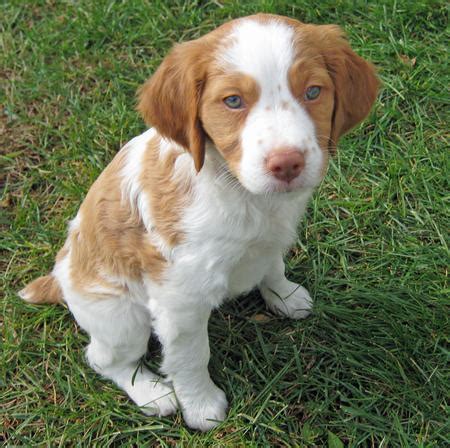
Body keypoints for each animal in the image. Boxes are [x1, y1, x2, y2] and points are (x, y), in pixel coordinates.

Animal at [22, 14, 380, 430]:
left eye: (312, 92)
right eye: (233, 101)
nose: (287, 164)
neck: (242, 194)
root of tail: (60, 276)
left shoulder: (270, 239)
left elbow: (272, 265)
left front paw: (285, 296)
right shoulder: (181, 300)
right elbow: (192, 357)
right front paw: (201, 406)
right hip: (121, 318)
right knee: (104, 359)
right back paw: (150, 392)